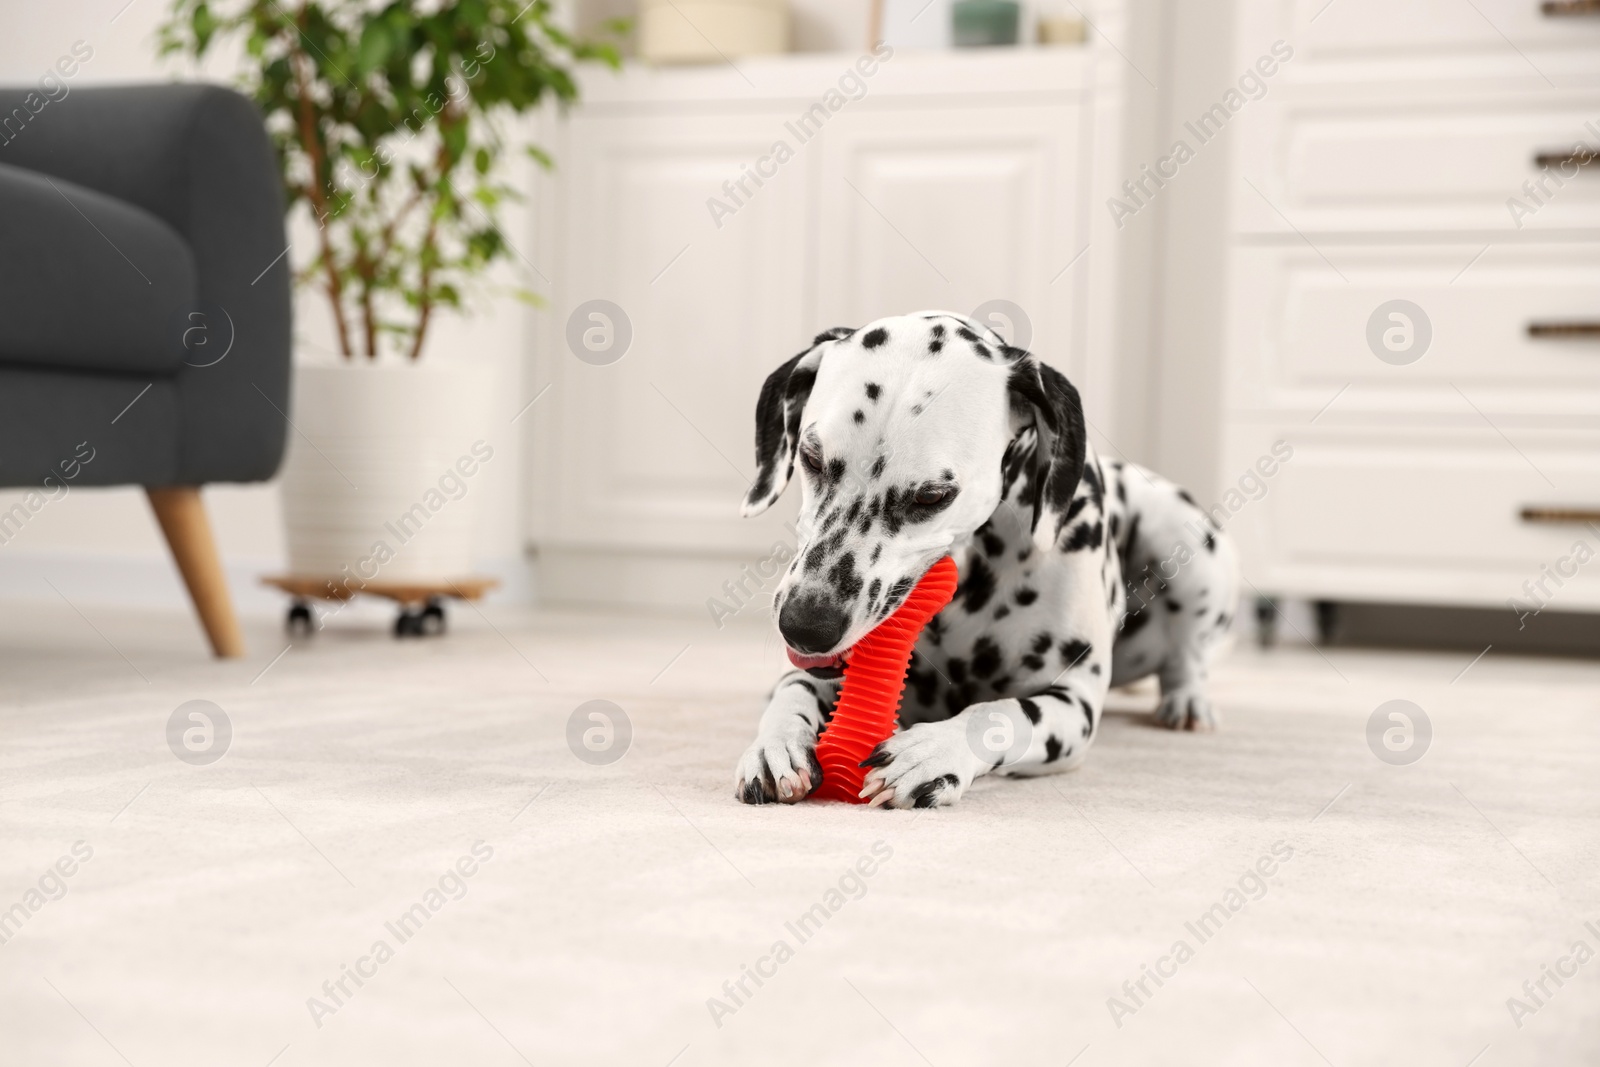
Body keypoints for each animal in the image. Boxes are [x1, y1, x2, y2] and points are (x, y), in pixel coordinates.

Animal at [732, 310, 1241, 809]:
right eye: (811, 458)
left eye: (932, 495)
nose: (805, 625)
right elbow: (793, 690)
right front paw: (776, 743)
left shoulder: (1073, 701)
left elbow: (1002, 713)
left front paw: (932, 753)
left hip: (1181, 535)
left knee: (1187, 656)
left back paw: (1187, 701)